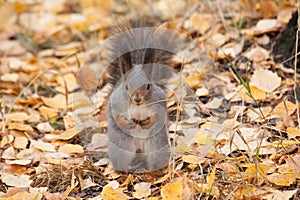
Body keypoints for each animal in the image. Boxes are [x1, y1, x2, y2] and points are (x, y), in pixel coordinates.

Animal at [105, 19, 178, 173]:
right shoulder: (115, 103)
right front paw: (126, 123)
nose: (137, 99)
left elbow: (159, 114)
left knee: (155, 160)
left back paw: (153, 169)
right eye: (126, 87)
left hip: (157, 147)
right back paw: (126, 169)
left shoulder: (159, 100)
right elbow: (115, 115)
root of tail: (139, 150)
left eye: (148, 86)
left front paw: (148, 122)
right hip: (122, 148)